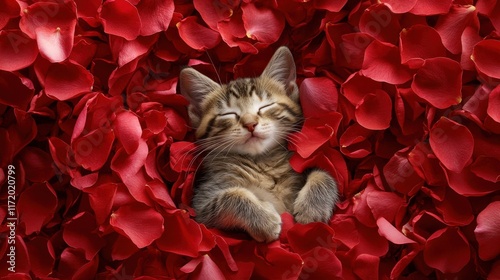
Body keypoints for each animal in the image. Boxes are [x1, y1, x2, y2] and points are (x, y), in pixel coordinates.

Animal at [178, 46, 338, 243]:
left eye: (265, 106)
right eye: (228, 114)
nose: (250, 124)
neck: (262, 162)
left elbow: (323, 174)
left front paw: (312, 210)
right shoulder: (200, 207)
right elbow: (230, 196)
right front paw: (264, 220)